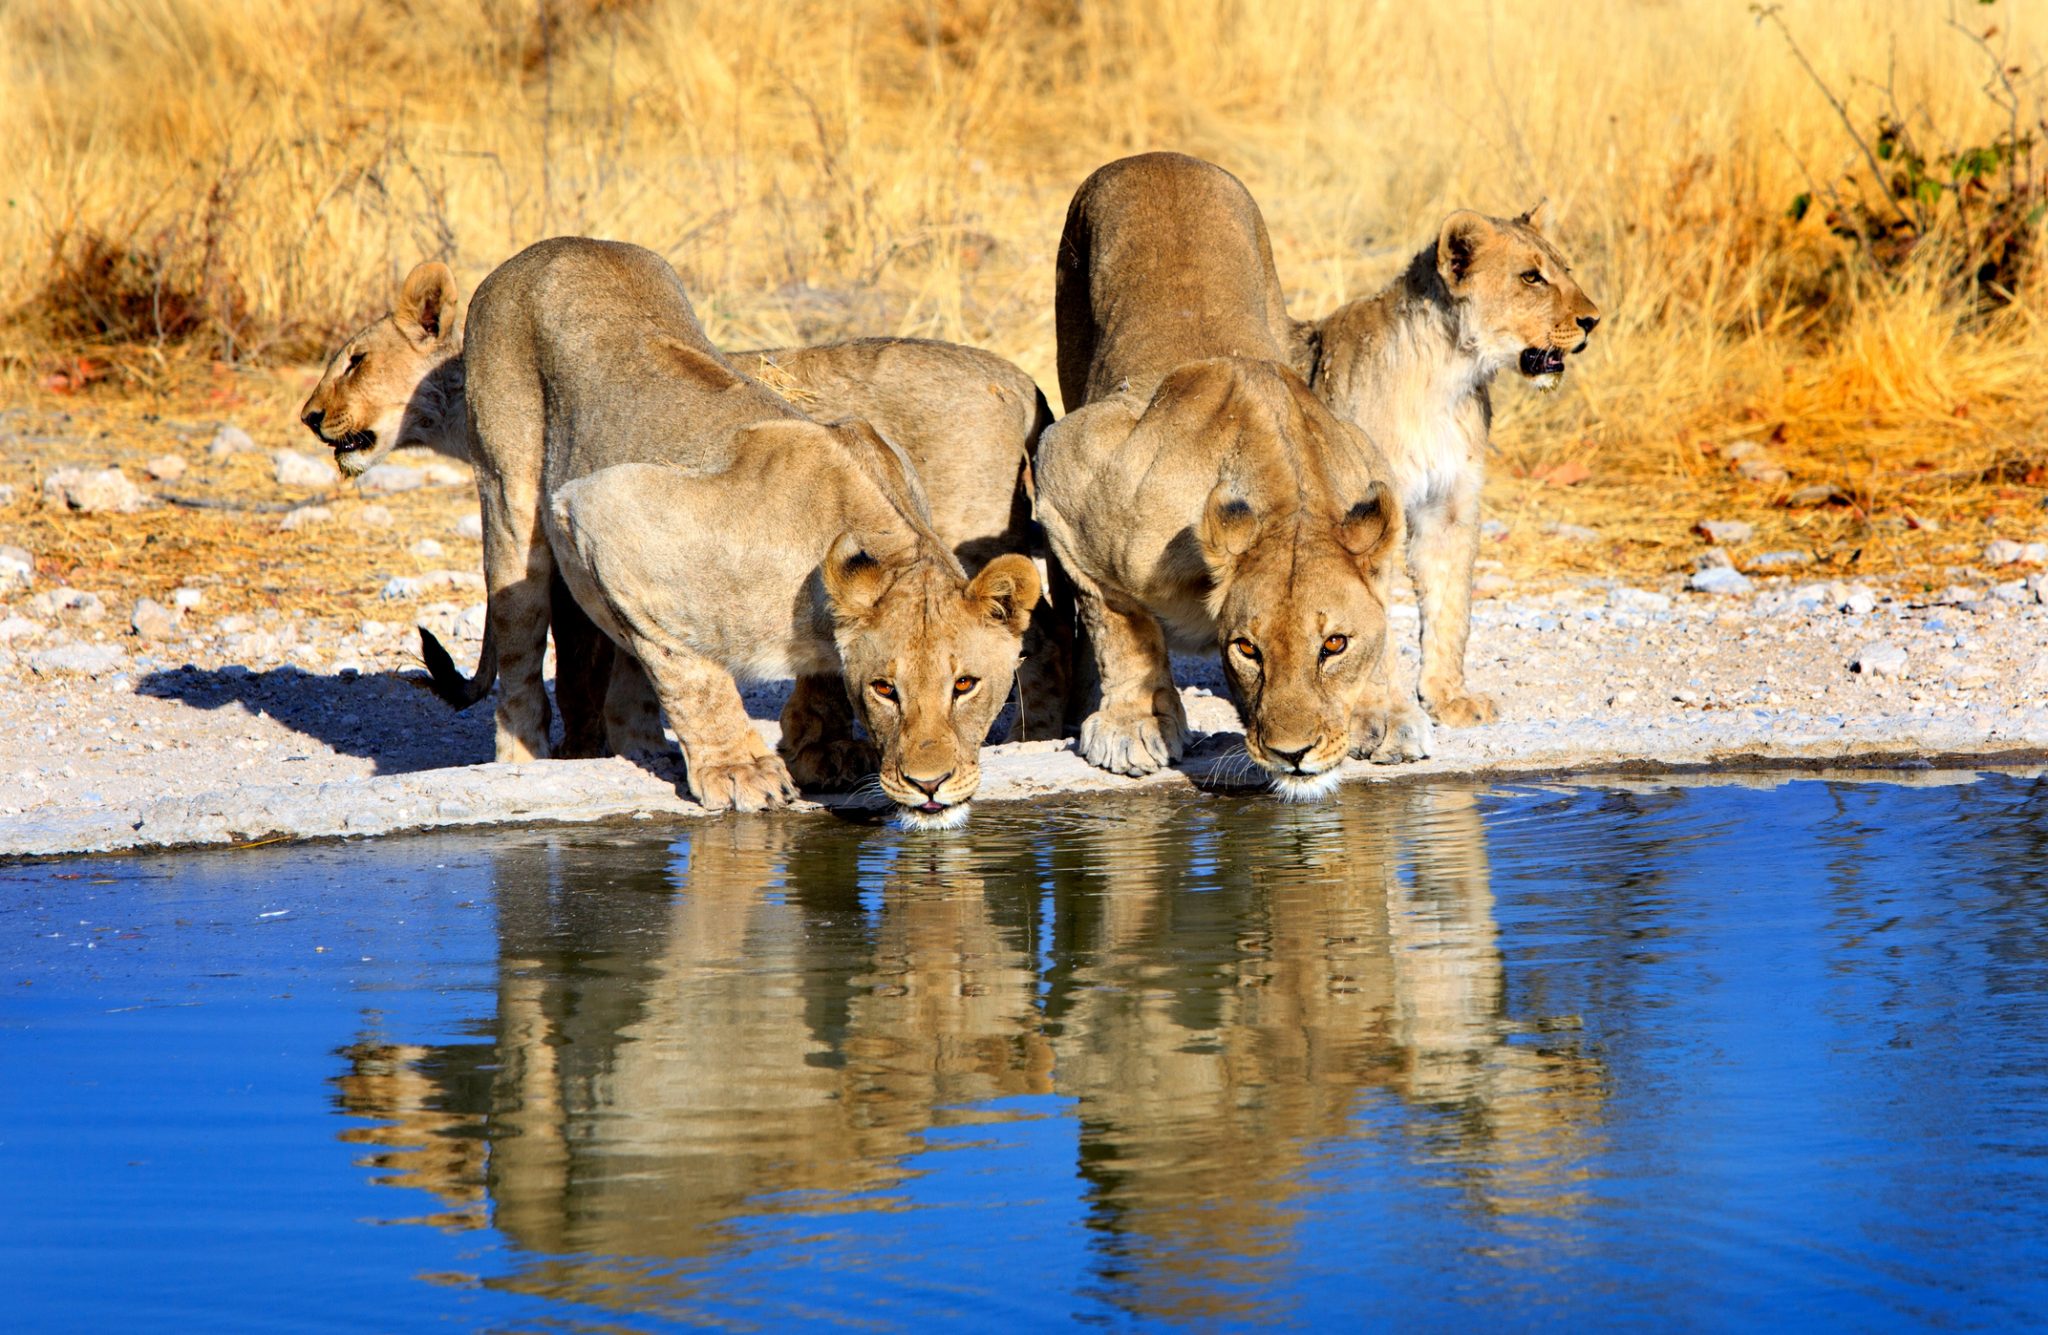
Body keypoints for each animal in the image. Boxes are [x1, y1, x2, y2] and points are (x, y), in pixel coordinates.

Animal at [339, 238, 1056, 823]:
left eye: (965, 685)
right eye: (886, 688)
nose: (929, 783)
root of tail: (548, 246)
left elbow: (807, 671)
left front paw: (818, 748)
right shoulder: (602, 509)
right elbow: (692, 669)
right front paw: (741, 769)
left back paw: (639, 747)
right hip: (512, 495)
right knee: (524, 639)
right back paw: (528, 757)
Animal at [1040, 151, 1425, 798]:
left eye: (1334, 644)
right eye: (1247, 649)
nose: (1292, 754)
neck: (1287, 504)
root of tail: (1157, 155)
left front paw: (1385, 712)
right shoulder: (1067, 472)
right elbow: (1121, 624)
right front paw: (1133, 724)